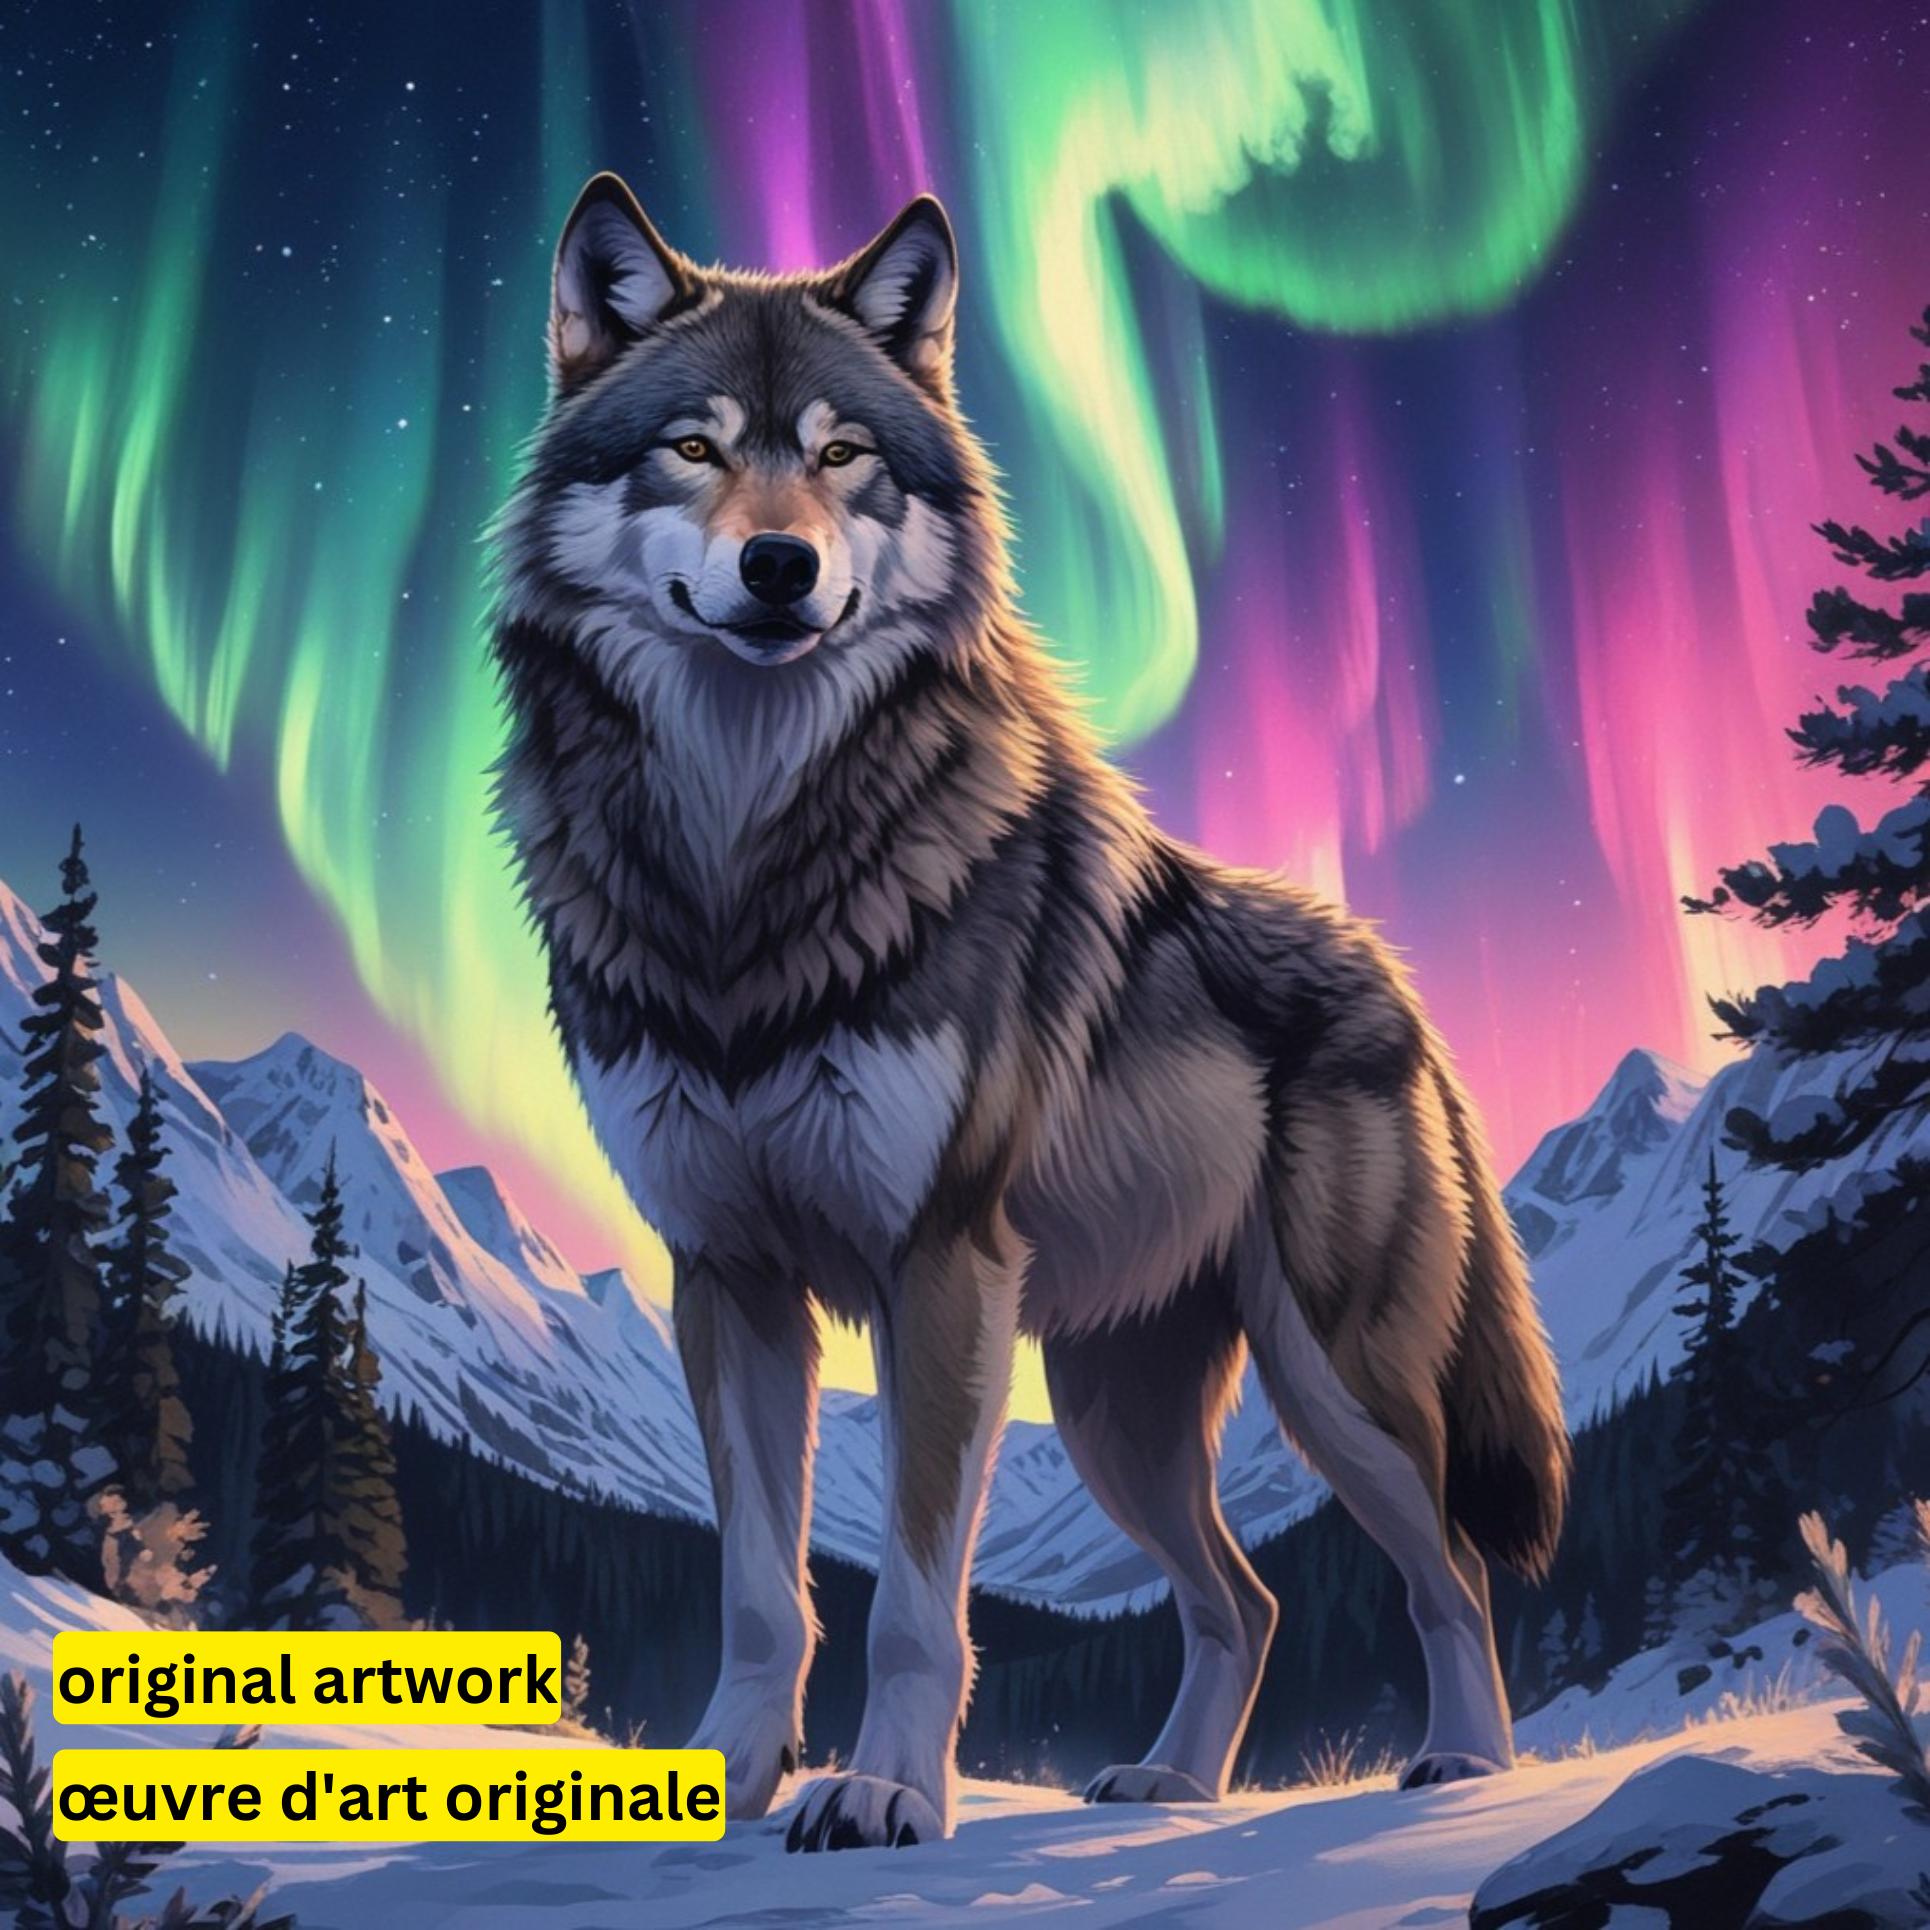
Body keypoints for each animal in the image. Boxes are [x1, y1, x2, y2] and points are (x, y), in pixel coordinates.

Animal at [490, 173, 1569, 1852]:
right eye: (697, 446)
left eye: (841, 457)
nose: (780, 567)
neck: (741, 863)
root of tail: (1387, 964)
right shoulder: (724, 1276)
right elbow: (760, 1594)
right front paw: (724, 1780)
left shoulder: (938, 1264)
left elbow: (914, 1602)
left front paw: (882, 1792)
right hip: (1117, 1411)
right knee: (1247, 1599)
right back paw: (1172, 1783)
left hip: (1332, 1382)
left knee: (1447, 1566)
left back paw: (1463, 1767)